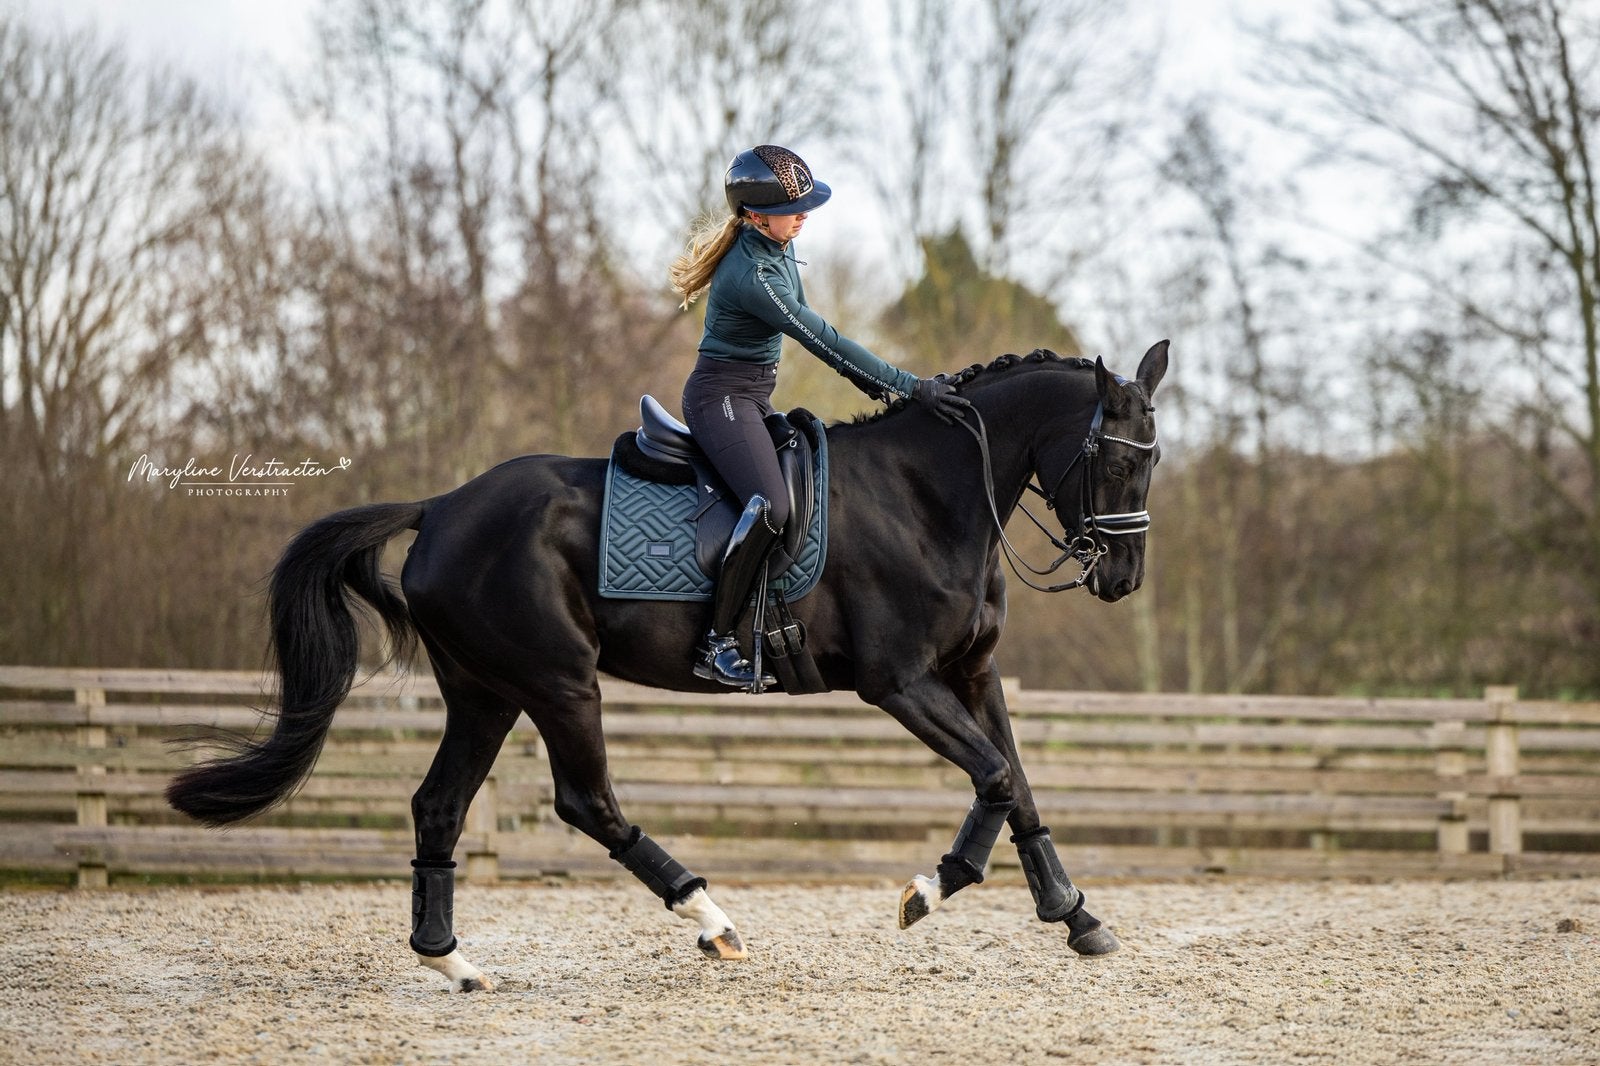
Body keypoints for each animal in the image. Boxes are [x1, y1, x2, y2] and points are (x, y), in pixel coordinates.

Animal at [167, 340, 1168, 992]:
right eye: (1115, 459)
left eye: (1152, 461)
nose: (1123, 577)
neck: (927, 494)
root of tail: (442, 506)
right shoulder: (902, 684)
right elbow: (994, 776)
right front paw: (929, 890)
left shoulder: (971, 675)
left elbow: (1019, 784)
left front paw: (1076, 915)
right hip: (557, 683)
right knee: (588, 802)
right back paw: (712, 922)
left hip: (487, 694)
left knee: (439, 806)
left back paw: (453, 961)